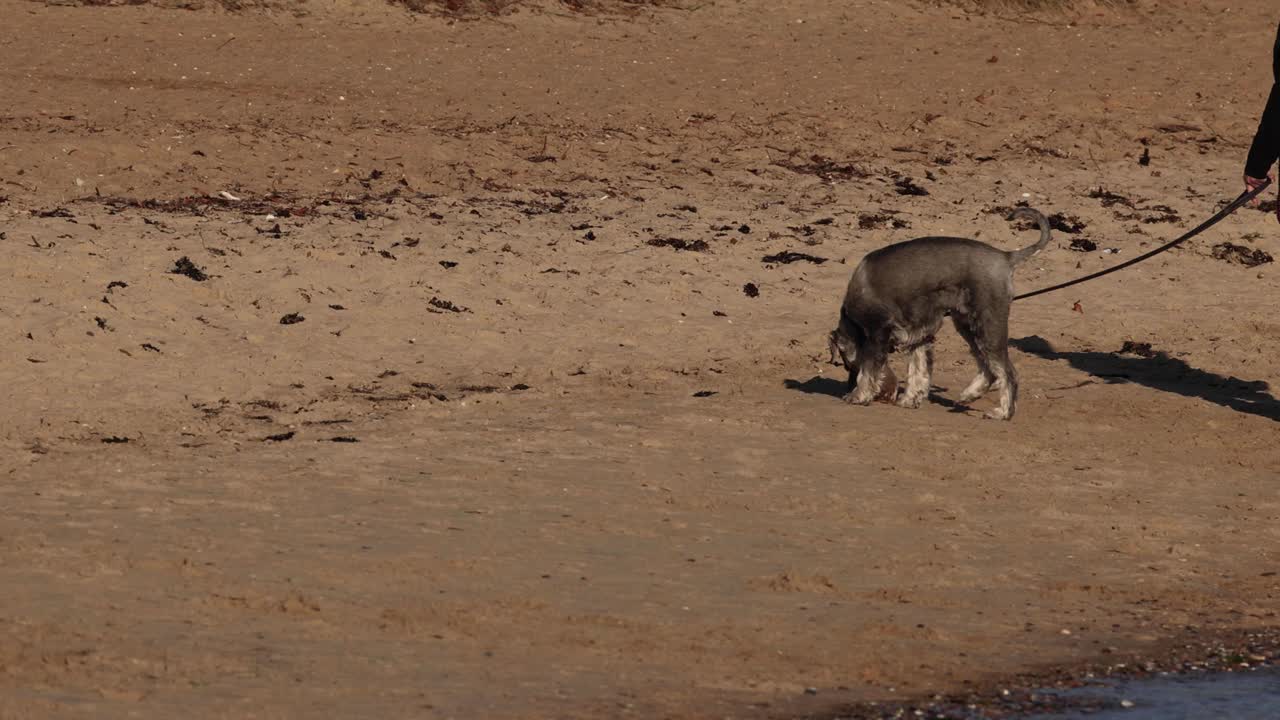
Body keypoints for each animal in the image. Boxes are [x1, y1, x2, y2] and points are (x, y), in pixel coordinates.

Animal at [829, 207, 1049, 417]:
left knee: (1007, 372)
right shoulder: (919, 336)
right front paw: (910, 399)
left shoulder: (877, 333)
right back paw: (970, 394)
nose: (848, 387)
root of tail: (1006, 256)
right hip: (967, 326)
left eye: (847, 363)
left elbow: (869, 369)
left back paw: (1003, 412)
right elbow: (918, 370)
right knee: (988, 367)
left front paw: (858, 395)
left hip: (988, 326)